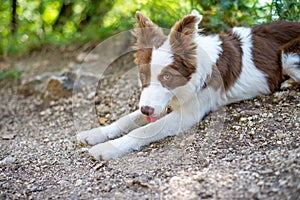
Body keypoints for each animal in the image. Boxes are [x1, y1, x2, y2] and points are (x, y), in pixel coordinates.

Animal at [77, 10, 300, 160]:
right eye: (143, 74)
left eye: (167, 76)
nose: (146, 109)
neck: (184, 85)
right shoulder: (156, 103)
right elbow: (127, 120)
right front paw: (96, 133)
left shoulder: (188, 115)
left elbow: (144, 130)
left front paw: (108, 148)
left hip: (288, 53)